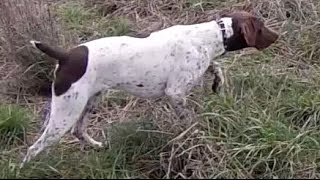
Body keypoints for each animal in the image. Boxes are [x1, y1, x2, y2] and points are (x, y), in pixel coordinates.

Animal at [20, 10, 278, 167]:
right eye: (262, 27)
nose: (277, 35)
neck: (211, 36)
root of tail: (65, 56)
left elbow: (217, 68)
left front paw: (218, 83)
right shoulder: (175, 93)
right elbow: (191, 121)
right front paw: (196, 136)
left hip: (90, 101)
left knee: (79, 131)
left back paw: (98, 146)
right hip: (65, 112)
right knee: (34, 149)